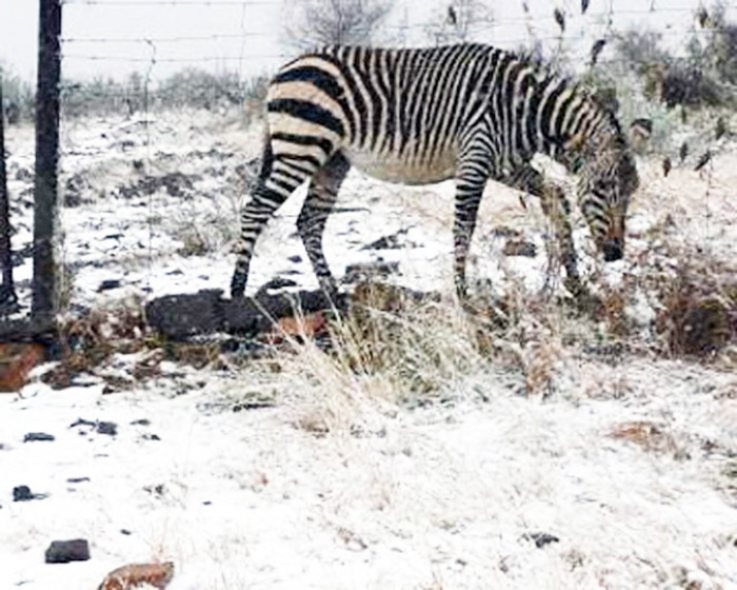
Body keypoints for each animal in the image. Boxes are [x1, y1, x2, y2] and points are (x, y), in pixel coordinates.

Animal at [230, 43, 640, 300]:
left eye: (632, 191)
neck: (524, 111)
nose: (615, 253)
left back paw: (333, 294)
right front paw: (462, 293)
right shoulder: (475, 159)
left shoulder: (506, 165)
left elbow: (556, 197)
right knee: (256, 210)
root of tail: (284, 69)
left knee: (309, 222)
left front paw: (575, 282)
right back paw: (237, 292)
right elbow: (464, 227)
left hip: (332, 161)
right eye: (602, 187)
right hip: (301, 148)